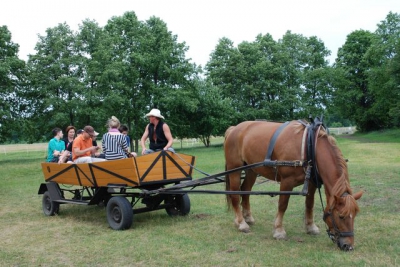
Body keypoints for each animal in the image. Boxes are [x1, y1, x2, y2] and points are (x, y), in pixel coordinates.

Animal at [223, 120, 364, 252]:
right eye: (341, 216)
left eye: (354, 215)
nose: (348, 246)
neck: (310, 146)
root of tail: (234, 129)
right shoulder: (287, 181)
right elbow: (282, 205)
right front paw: (279, 231)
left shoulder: (312, 183)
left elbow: (309, 204)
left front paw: (310, 227)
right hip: (234, 169)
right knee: (235, 194)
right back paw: (241, 223)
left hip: (251, 170)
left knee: (245, 190)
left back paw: (247, 217)